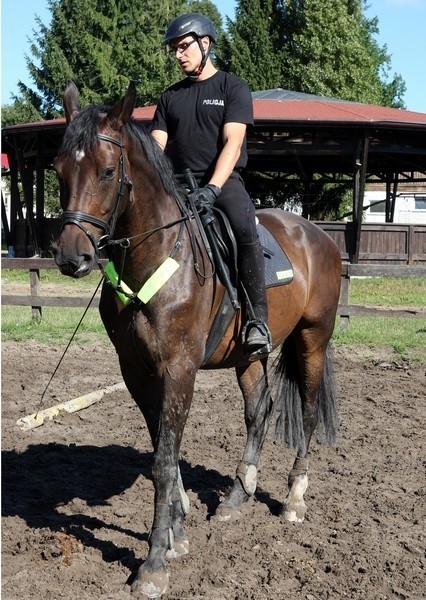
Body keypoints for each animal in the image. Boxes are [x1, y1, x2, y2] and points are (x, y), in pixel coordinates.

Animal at [53, 82, 342, 596]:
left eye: (107, 171)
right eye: (59, 170)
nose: (72, 257)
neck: (155, 256)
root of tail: (317, 235)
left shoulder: (179, 369)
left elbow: (165, 460)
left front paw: (153, 564)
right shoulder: (137, 373)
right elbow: (164, 455)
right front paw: (176, 534)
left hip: (313, 338)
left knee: (306, 412)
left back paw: (294, 499)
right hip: (248, 356)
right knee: (259, 411)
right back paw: (237, 496)